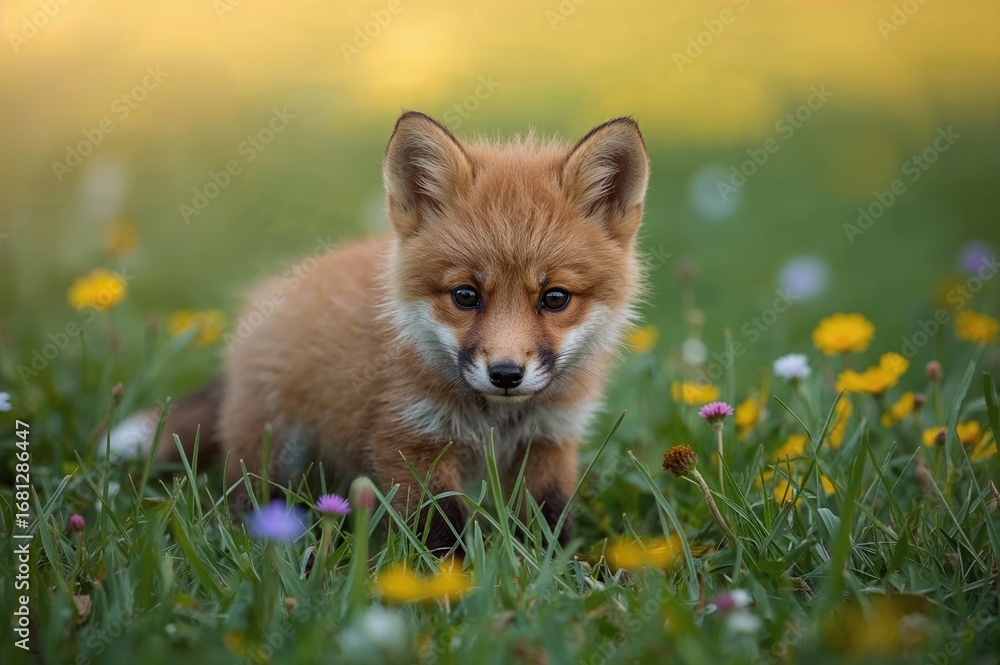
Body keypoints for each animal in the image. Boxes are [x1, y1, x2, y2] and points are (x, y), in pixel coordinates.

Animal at [109, 110, 650, 552]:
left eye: (555, 298)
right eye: (465, 295)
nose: (505, 374)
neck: (495, 422)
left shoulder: (550, 440)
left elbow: (548, 526)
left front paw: (553, 574)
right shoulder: (410, 441)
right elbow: (441, 534)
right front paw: (447, 588)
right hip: (270, 450)